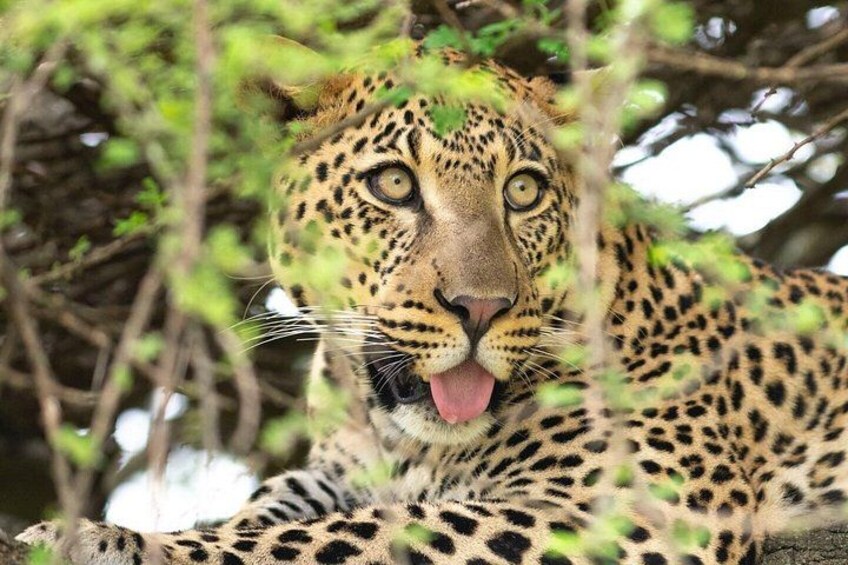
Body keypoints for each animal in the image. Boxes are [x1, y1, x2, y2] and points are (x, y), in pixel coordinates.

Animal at [17, 44, 848, 565]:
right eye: (393, 184)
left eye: (524, 191)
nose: (479, 308)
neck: (399, 436)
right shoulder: (333, 470)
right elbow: (278, 507)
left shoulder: (629, 508)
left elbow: (346, 537)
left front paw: (106, 538)